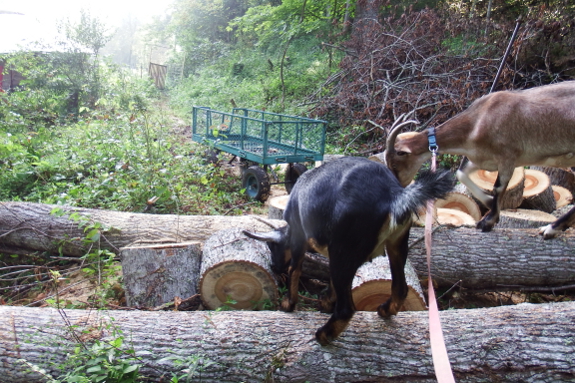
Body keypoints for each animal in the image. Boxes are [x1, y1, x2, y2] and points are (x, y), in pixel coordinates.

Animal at [243, 156, 454, 344]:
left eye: (272, 246)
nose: (273, 267)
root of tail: (393, 194)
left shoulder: (298, 238)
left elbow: (294, 271)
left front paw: (289, 304)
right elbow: (331, 283)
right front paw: (326, 301)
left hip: (343, 252)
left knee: (346, 309)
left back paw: (324, 335)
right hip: (395, 245)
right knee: (400, 289)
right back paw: (385, 310)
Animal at [384, 81, 575, 238]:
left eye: (395, 163)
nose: (398, 189)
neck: (478, 121)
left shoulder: (508, 156)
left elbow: (498, 187)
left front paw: (487, 221)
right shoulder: (482, 159)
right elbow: (461, 174)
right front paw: (488, 202)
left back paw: (550, 229)